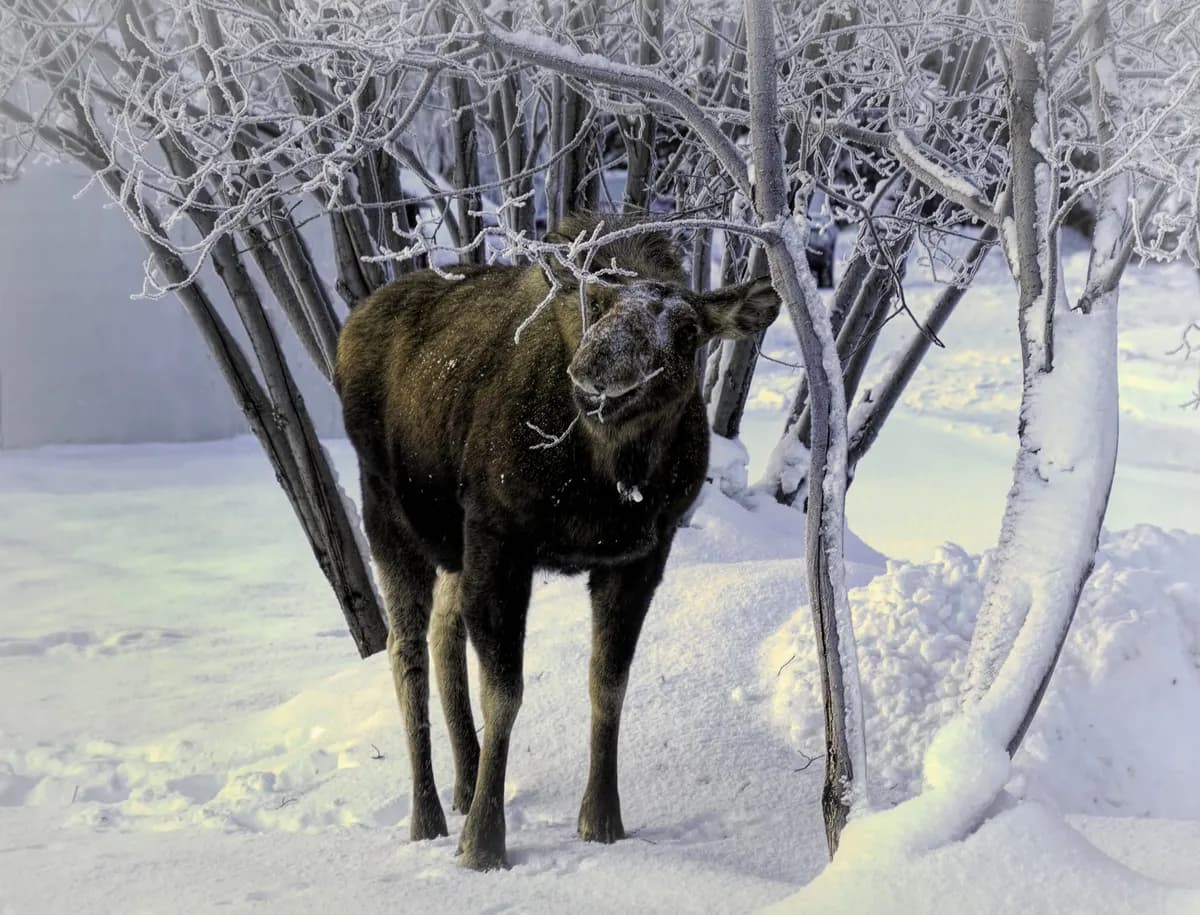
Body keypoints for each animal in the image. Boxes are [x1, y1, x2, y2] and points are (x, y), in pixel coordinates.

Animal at [335, 213, 780, 870]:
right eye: (595, 303)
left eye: (687, 329)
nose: (597, 374)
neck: (609, 478)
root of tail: (350, 328)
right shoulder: (501, 539)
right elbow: (506, 693)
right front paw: (484, 845)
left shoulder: (640, 557)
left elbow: (608, 684)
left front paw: (602, 820)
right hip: (388, 517)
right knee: (404, 649)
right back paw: (429, 818)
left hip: (452, 548)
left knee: (442, 634)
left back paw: (466, 783)